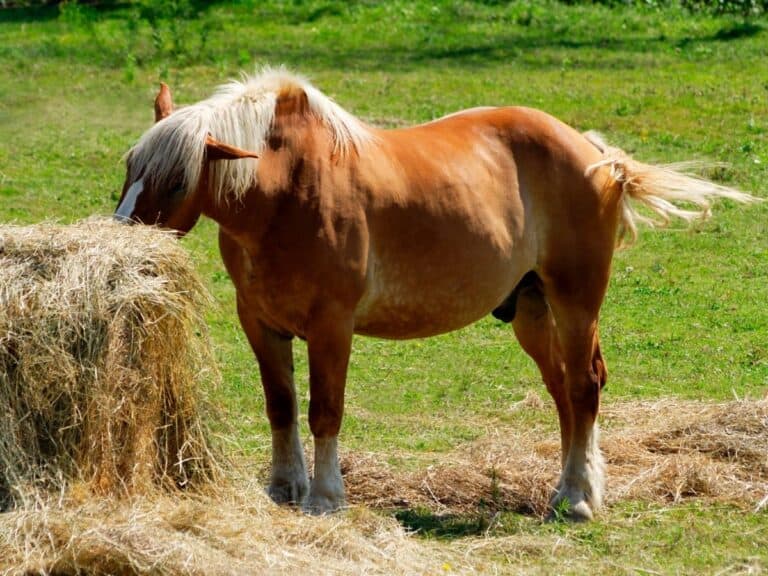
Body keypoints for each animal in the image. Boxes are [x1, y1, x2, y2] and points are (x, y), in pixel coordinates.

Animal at [115, 67, 756, 519]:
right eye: (129, 166)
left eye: (177, 179)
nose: (121, 235)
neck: (288, 191)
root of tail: (600, 158)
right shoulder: (260, 323)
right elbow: (281, 406)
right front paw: (283, 488)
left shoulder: (331, 328)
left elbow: (325, 411)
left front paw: (325, 497)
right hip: (531, 310)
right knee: (566, 395)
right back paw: (574, 486)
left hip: (576, 303)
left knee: (583, 387)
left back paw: (576, 497)